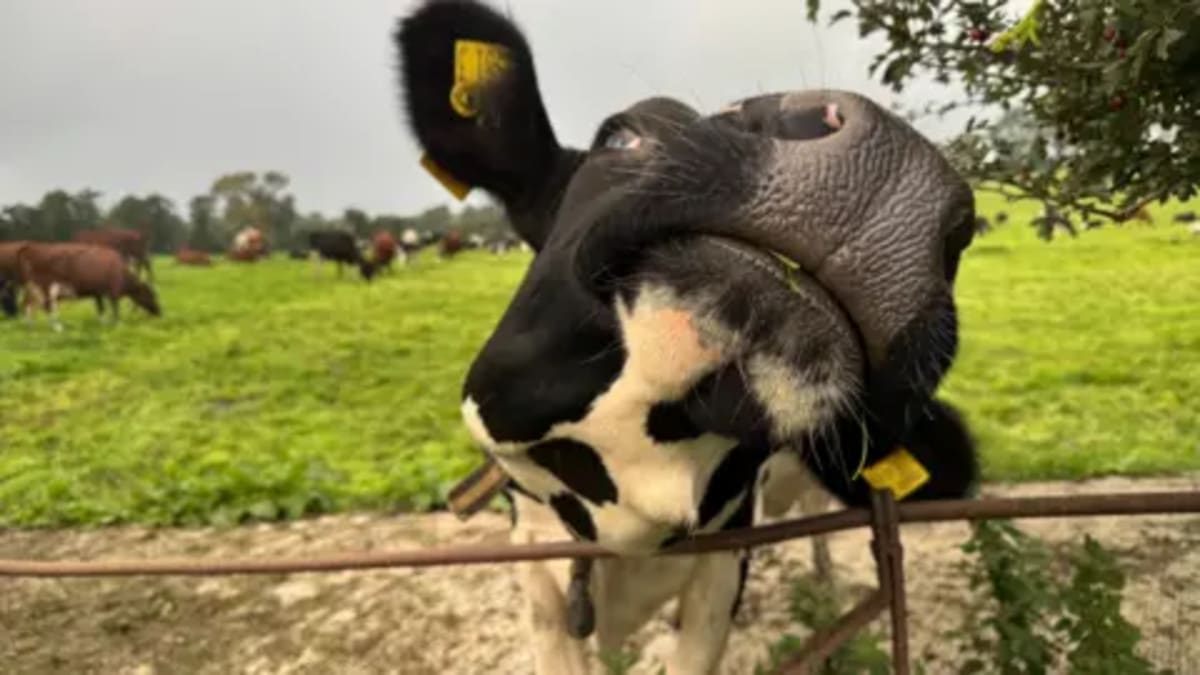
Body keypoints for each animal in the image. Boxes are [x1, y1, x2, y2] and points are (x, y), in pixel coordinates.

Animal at [16, 242, 161, 330]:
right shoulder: (113, 291)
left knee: (28, 305)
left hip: (33, 288)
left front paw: (102, 323)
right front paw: (116, 324)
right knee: (48, 307)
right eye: (151, 295)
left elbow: (101, 309)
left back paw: (30, 325)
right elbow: (115, 309)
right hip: (47, 287)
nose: (159, 312)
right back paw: (57, 328)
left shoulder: (98, 293)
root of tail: (32, 247)